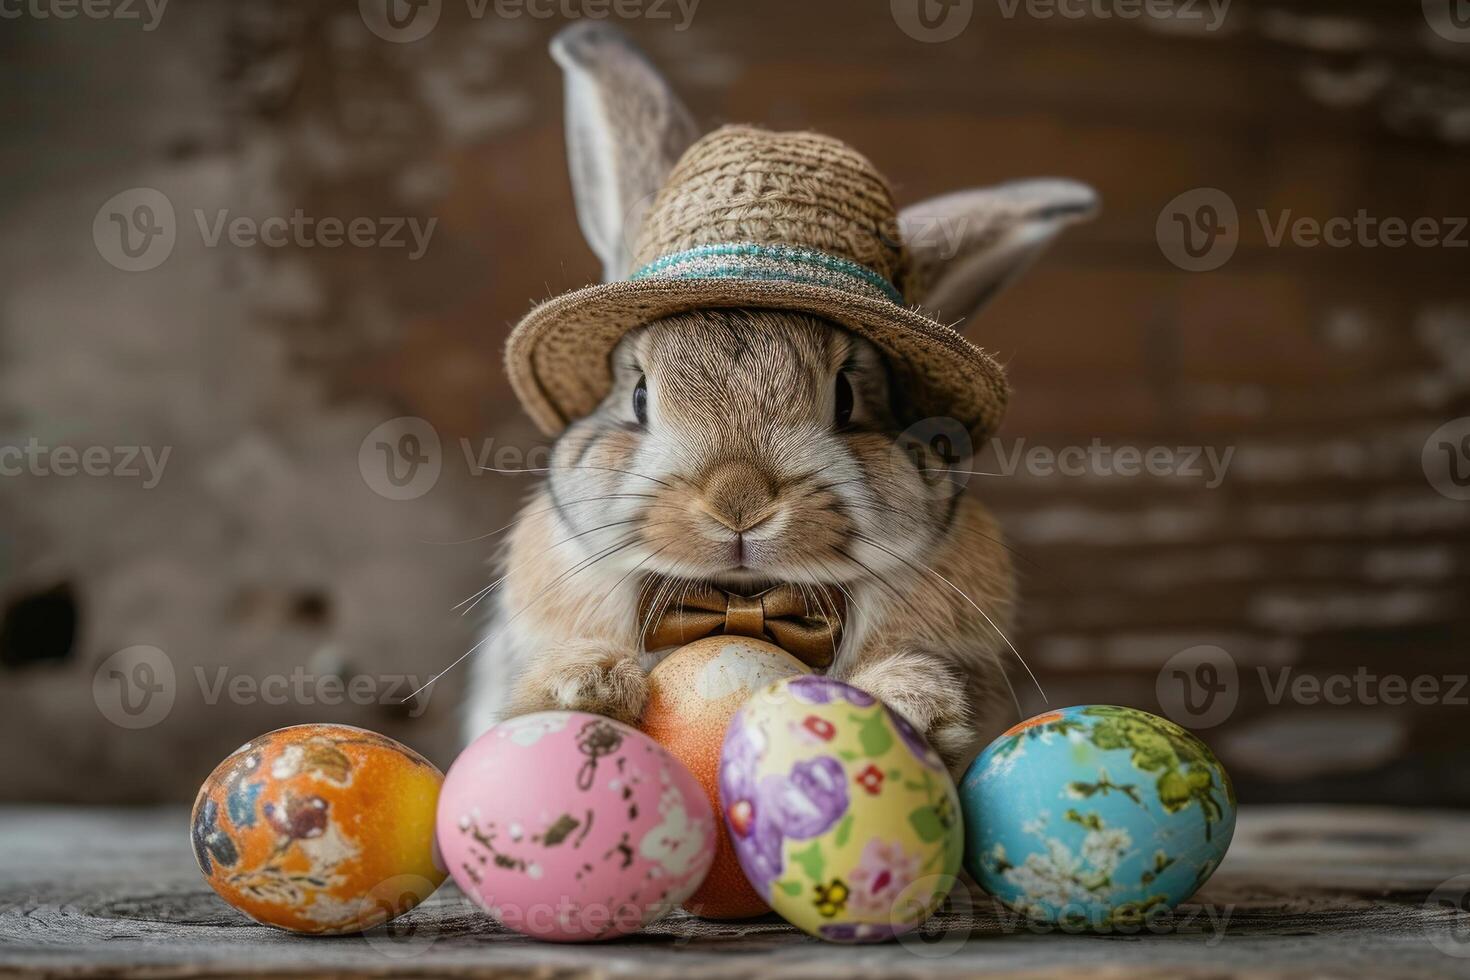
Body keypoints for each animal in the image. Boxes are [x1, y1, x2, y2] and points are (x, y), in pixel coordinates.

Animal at [464, 22, 1099, 775]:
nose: (738, 502)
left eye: (847, 399)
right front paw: (585, 685)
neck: (743, 599)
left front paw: (915, 702)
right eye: (640, 397)